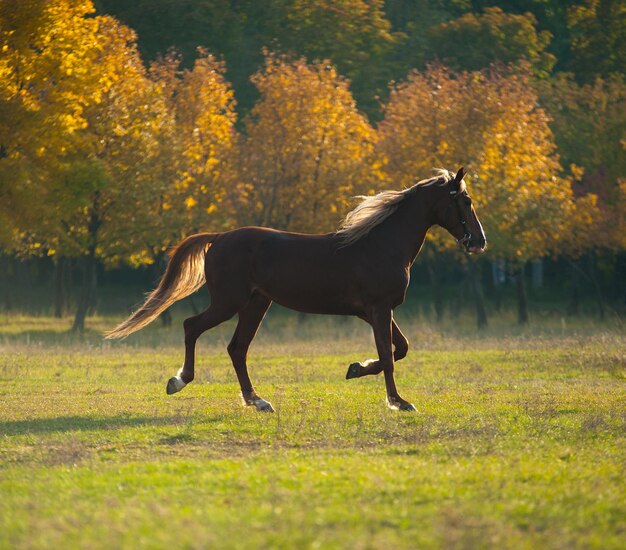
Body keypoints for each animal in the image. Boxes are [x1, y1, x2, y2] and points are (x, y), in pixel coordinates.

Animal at [106, 168, 482, 414]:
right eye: (464, 201)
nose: (479, 241)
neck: (380, 244)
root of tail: (220, 237)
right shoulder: (378, 309)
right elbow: (390, 356)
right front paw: (398, 402)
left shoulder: (377, 311)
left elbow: (400, 349)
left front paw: (355, 369)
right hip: (230, 303)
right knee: (192, 327)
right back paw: (180, 380)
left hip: (256, 305)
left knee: (236, 348)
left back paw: (257, 400)